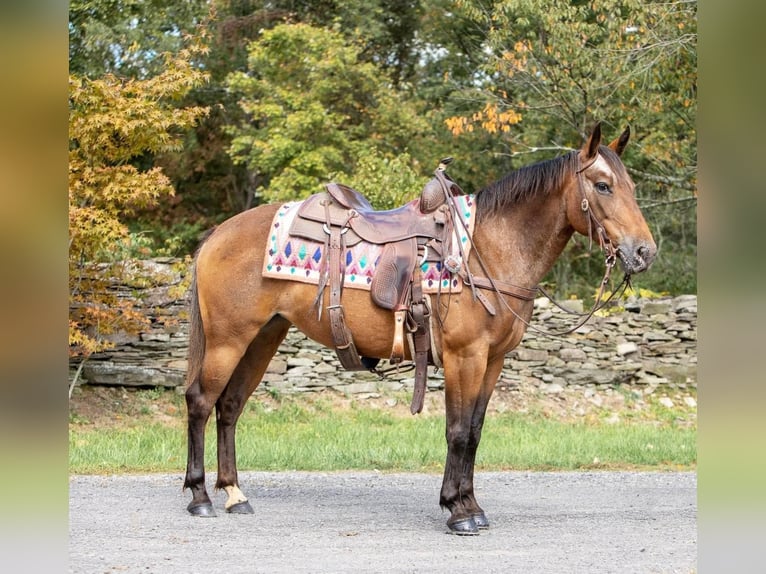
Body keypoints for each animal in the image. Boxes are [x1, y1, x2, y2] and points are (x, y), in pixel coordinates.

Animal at [183, 124, 656, 536]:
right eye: (603, 186)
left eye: (632, 186)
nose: (644, 252)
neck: (487, 250)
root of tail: (218, 234)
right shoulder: (465, 357)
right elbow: (458, 431)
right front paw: (458, 511)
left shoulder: (493, 361)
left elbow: (475, 432)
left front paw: (472, 506)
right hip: (228, 339)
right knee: (201, 402)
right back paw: (200, 496)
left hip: (264, 336)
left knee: (230, 407)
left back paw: (234, 494)